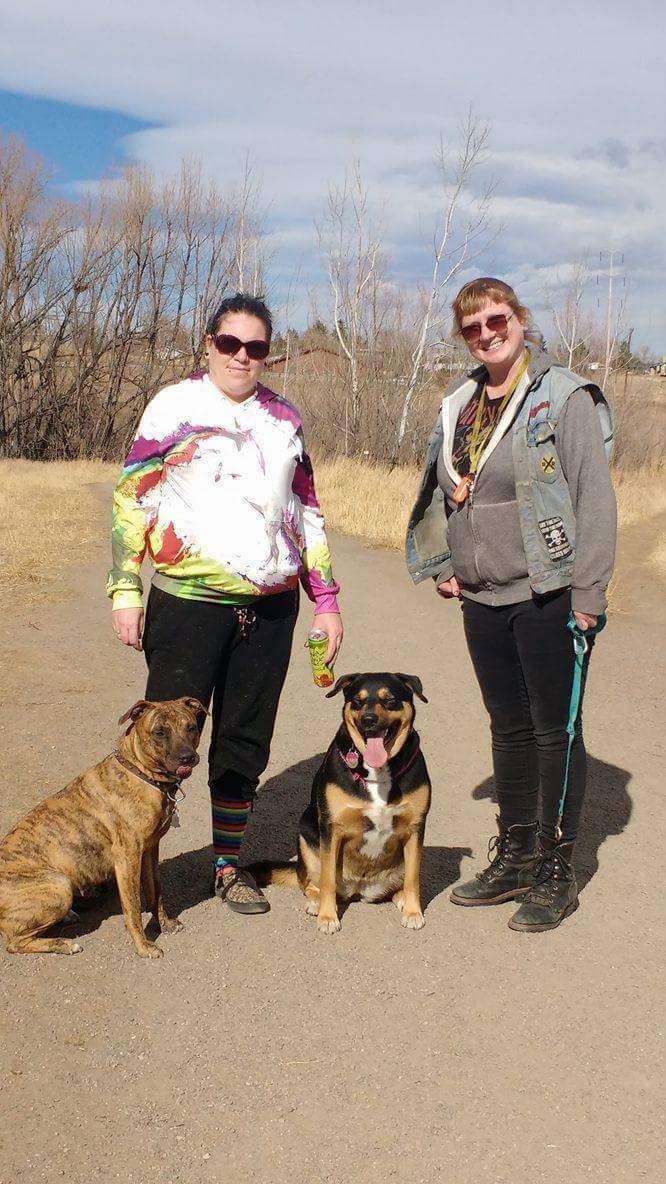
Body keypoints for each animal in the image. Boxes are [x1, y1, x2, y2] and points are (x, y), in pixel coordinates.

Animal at [0, 696, 205, 956]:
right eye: (159, 732)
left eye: (191, 727)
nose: (187, 757)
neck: (141, 773)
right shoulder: (127, 858)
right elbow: (133, 908)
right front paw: (144, 947)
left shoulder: (149, 849)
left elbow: (155, 890)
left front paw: (164, 923)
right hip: (58, 885)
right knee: (15, 942)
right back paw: (64, 943)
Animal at [252, 677, 431, 932]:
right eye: (357, 700)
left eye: (389, 700)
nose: (368, 719)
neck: (377, 771)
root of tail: (360, 889)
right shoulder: (331, 828)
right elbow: (328, 880)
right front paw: (327, 917)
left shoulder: (415, 828)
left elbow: (413, 878)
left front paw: (414, 911)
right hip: (306, 838)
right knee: (310, 883)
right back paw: (315, 902)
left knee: (399, 885)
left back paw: (402, 899)